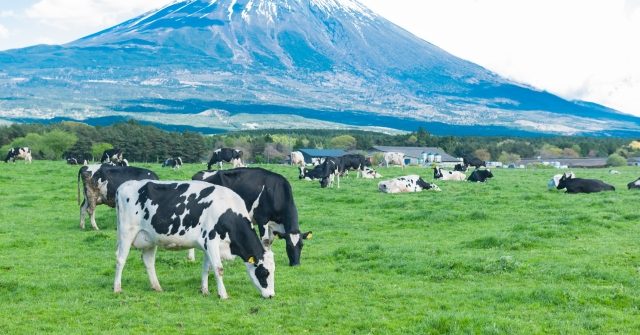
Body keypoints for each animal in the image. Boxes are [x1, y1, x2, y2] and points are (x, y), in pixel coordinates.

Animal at [115, 181, 276, 300]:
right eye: (264, 272)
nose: (271, 295)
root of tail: (124, 186)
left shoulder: (207, 245)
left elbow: (206, 268)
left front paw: (205, 290)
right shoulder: (211, 240)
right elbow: (219, 269)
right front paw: (223, 294)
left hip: (150, 238)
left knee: (148, 261)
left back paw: (157, 287)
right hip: (126, 233)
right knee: (120, 259)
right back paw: (117, 288)